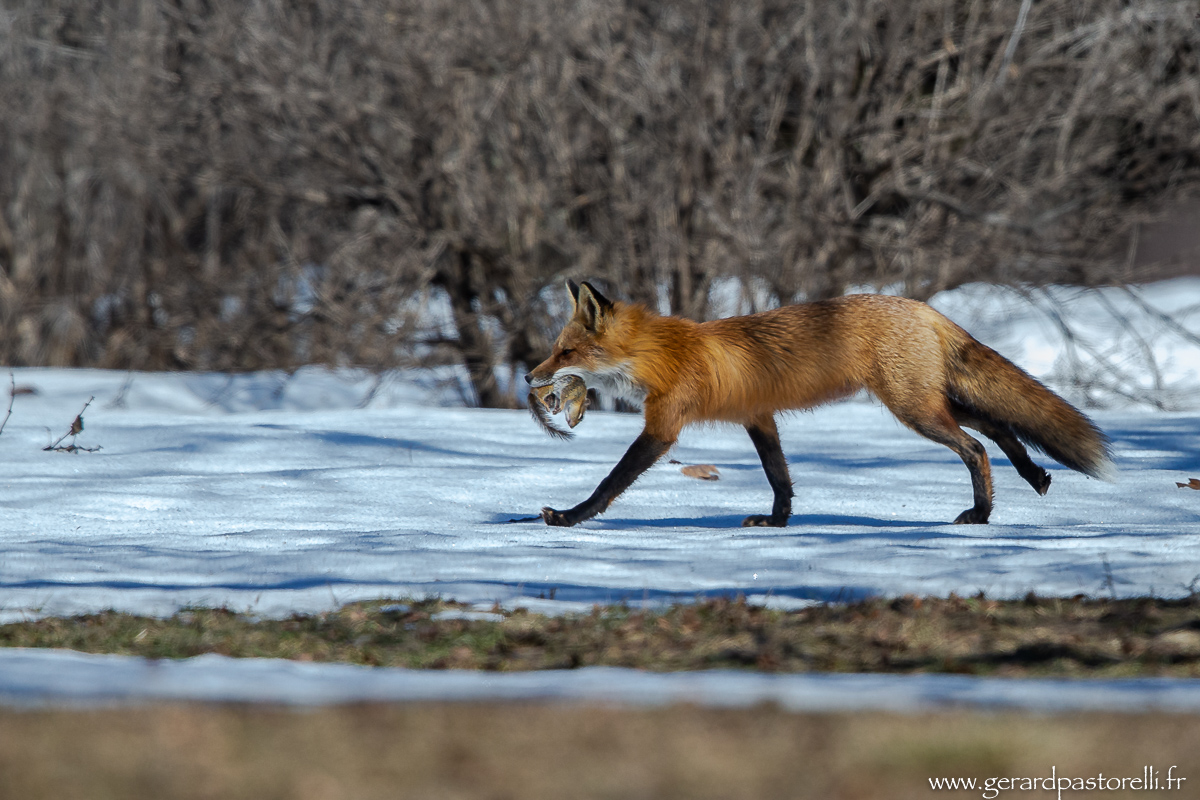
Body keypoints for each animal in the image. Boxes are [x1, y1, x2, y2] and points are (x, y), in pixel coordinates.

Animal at [524, 280, 1114, 528]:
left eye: (566, 353)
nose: (530, 376)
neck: (661, 354)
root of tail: (922, 307)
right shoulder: (758, 417)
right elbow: (779, 477)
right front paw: (777, 523)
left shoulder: (663, 428)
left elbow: (609, 482)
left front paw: (570, 517)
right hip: (930, 400)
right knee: (998, 426)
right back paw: (1034, 475)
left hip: (914, 409)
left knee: (976, 447)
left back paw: (984, 512)